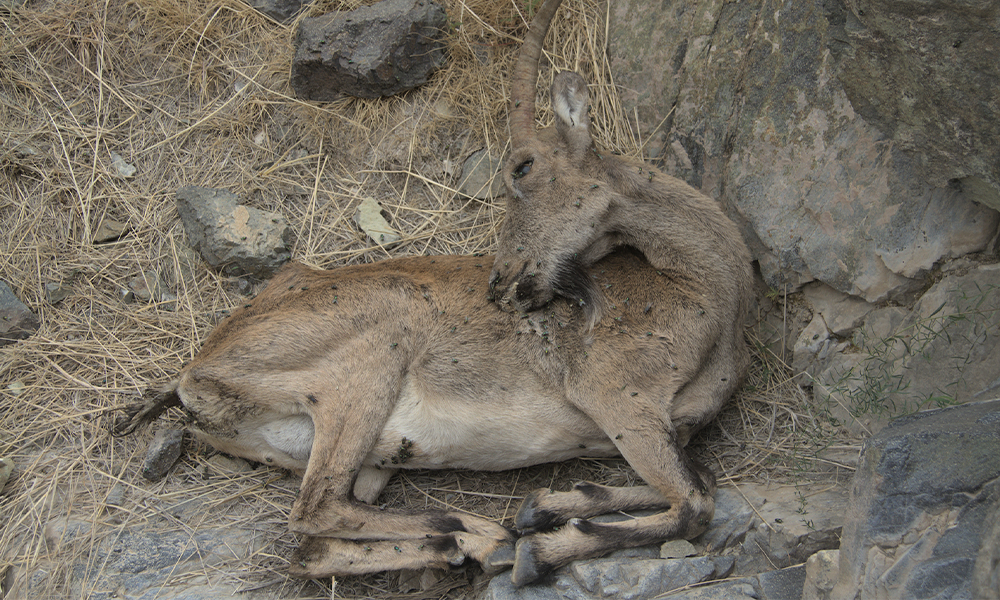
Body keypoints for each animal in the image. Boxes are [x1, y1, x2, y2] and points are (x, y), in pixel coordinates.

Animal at [119, 0, 752, 584]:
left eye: (524, 166)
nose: (503, 282)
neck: (706, 292)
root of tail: (193, 377)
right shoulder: (619, 398)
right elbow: (694, 502)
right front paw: (542, 546)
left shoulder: (659, 427)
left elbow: (699, 479)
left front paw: (550, 505)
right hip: (364, 365)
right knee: (316, 508)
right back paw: (483, 535)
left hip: (366, 454)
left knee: (313, 546)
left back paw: (466, 545)